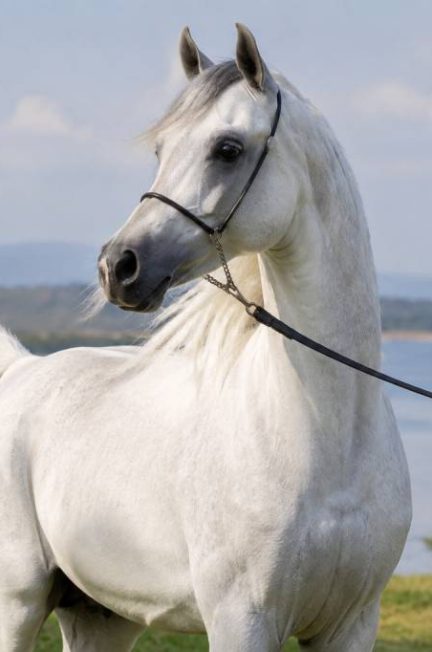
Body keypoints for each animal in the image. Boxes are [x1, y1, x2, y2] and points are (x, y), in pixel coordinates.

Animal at [0, 23, 411, 652]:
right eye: (160, 151)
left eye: (227, 149)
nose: (118, 266)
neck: (328, 435)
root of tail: (23, 367)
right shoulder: (241, 621)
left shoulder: (352, 624)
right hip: (19, 603)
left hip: (100, 615)